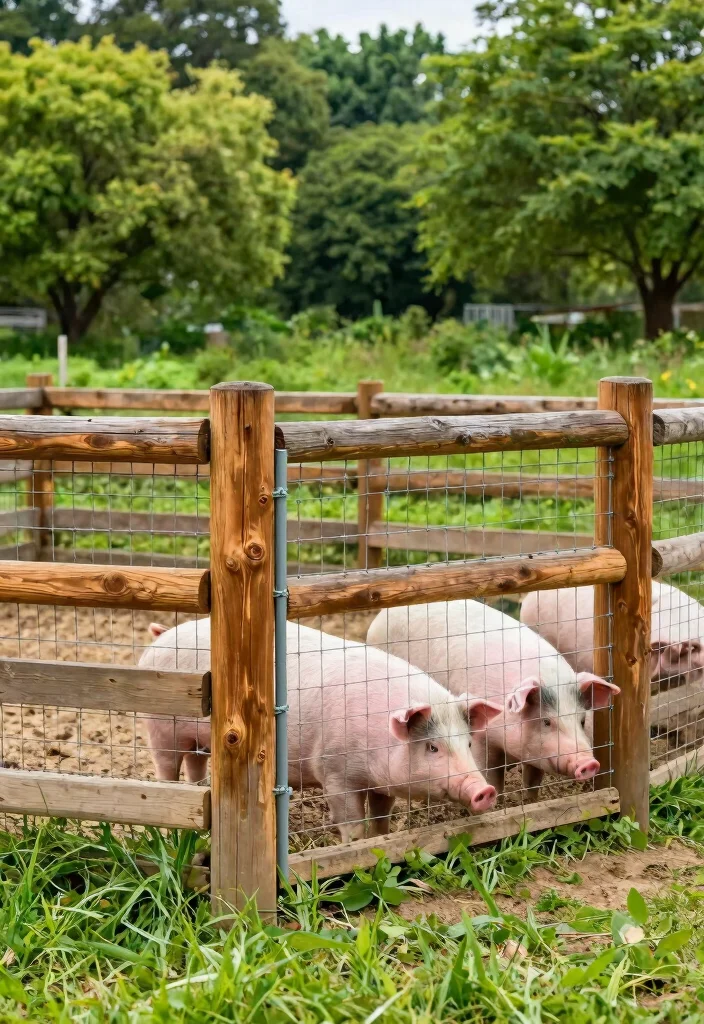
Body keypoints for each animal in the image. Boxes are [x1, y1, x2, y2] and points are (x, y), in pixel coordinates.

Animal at [139, 618, 502, 841]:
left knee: (195, 767)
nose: (484, 790)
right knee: (166, 769)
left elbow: (381, 816)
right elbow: (351, 821)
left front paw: (381, 839)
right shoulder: (335, 772)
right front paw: (353, 845)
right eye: (432, 747)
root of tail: (161, 638)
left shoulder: (381, 782)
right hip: (160, 726)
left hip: (198, 739)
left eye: (469, 744)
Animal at [366, 600, 619, 798]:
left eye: (582, 720)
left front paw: (529, 800)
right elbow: (492, 775)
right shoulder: (482, 738)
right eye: (547, 721)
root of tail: (381, 616)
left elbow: (533, 780)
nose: (589, 763)